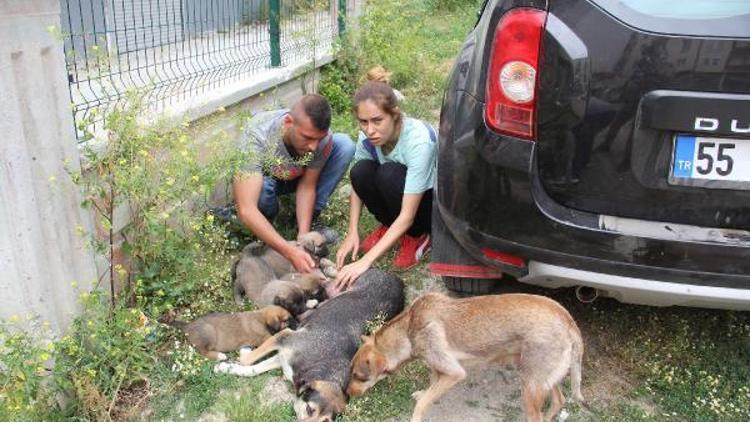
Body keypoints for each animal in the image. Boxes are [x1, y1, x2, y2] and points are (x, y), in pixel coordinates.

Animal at [166, 304, 296, 362]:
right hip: (209, 331)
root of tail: (188, 325)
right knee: (203, 352)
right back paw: (220, 356)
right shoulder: (265, 337)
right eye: (287, 320)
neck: (261, 318)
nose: (297, 322)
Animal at [214, 270, 408, 422]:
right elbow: (248, 362)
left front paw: (229, 367)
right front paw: (231, 361)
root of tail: (397, 280)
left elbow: (252, 368)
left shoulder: (283, 358)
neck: (320, 365)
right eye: (309, 409)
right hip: (351, 284)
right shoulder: (285, 338)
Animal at [346, 294, 588, 422]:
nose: (347, 393)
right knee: (559, 400)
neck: (408, 330)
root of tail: (569, 322)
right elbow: (430, 387)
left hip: (530, 387)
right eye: (351, 373)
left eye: (360, 377)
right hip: (541, 379)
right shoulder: (438, 368)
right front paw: (424, 392)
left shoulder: (454, 373)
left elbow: (423, 404)